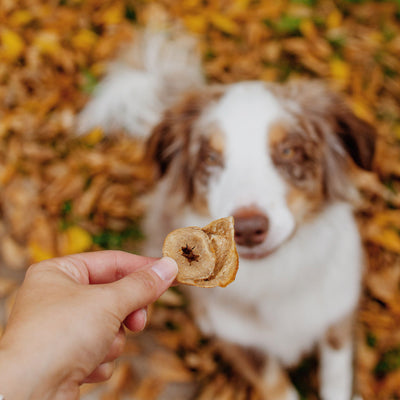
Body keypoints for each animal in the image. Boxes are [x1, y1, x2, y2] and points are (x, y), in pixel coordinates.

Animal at [79, 29, 376, 398]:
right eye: (209, 158)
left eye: (289, 150)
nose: (247, 229)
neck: (273, 278)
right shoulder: (242, 345)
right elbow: (277, 387)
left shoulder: (336, 315)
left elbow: (336, 376)